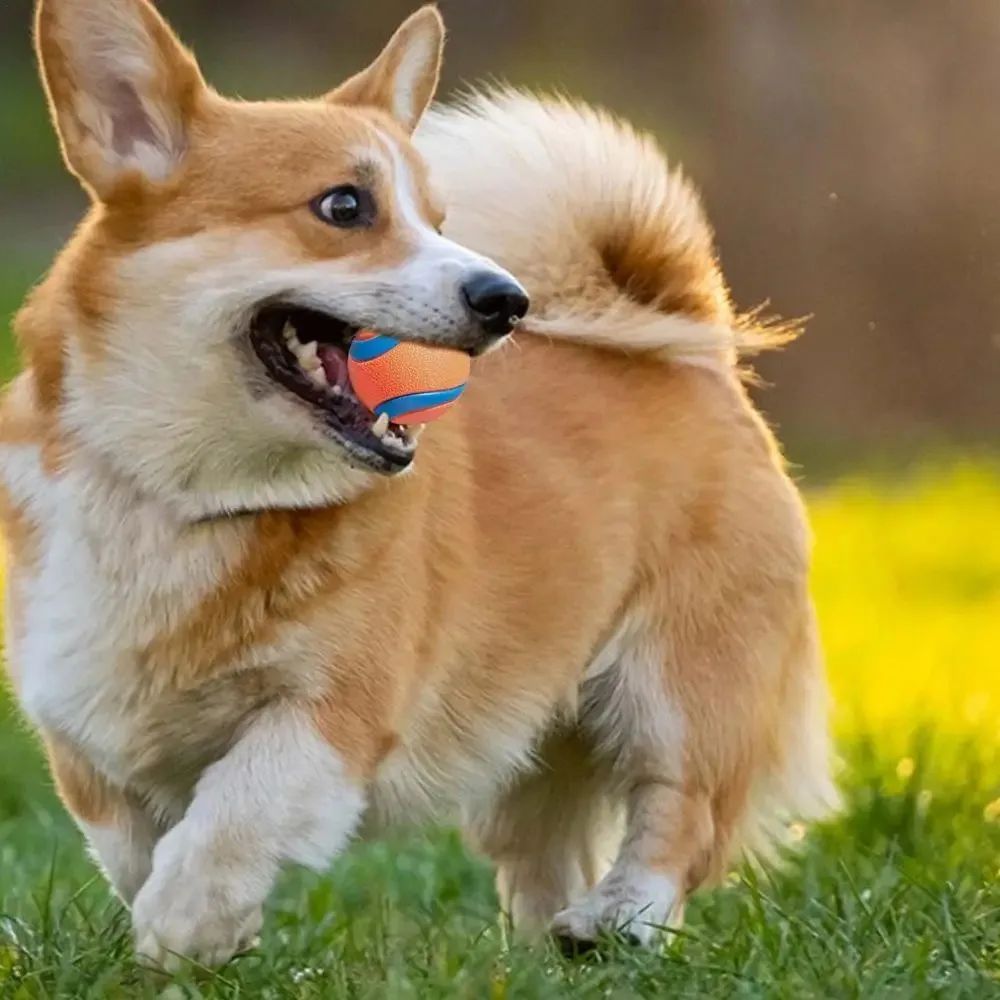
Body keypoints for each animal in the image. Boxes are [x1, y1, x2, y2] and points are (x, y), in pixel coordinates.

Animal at [1, 0, 836, 972]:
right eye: (344, 205)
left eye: (438, 216)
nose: (507, 299)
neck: (189, 497)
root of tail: (695, 352)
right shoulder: (83, 733)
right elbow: (132, 845)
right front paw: (204, 938)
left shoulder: (333, 712)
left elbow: (236, 809)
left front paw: (188, 921)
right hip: (532, 739)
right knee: (544, 851)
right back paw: (540, 954)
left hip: (678, 688)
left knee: (679, 814)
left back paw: (618, 920)